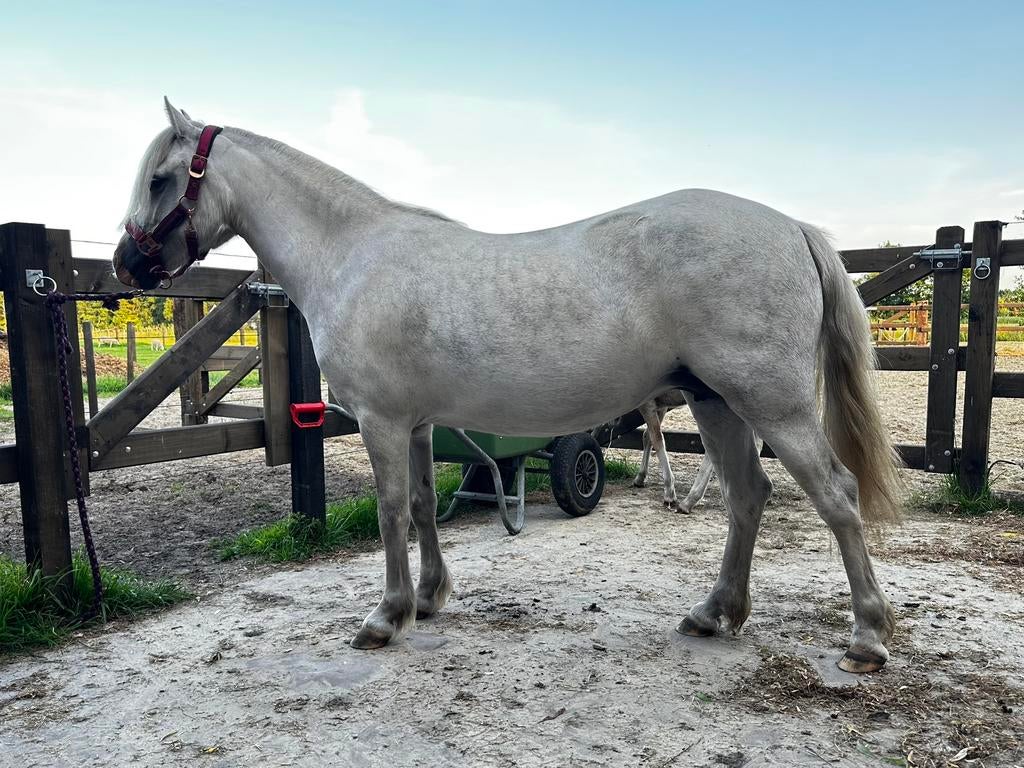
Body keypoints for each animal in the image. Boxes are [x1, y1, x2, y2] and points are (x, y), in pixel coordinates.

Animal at [113, 100, 902, 672]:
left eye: (159, 180)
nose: (126, 264)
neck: (351, 255)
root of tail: (792, 227)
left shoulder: (380, 420)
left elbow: (391, 512)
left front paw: (386, 616)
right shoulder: (418, 423)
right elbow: (424, 506)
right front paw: (430, 598)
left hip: (774, 405)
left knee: (835, 495)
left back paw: (866, 637)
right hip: (716, 402)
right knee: (747, 496)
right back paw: (714, 614)